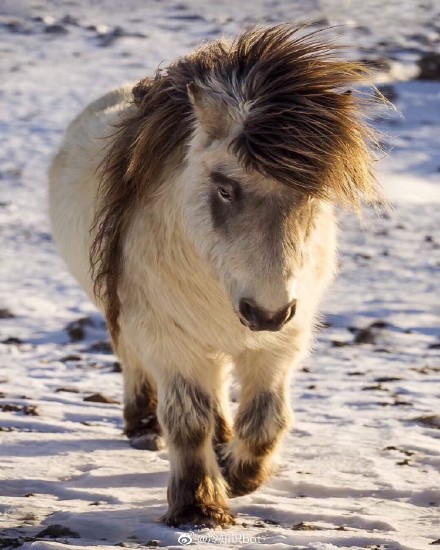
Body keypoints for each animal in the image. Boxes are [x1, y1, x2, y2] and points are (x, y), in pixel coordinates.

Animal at [47, 23, 378, 528]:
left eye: (312, 196)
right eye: (224, 188)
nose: (265, 312)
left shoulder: (282, 339)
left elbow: (266, 418)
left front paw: (240, 474)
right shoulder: (167, 336)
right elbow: (188, 421)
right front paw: (198, 505)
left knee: (219, 382)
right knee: (135, 363)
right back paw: (143, 427)